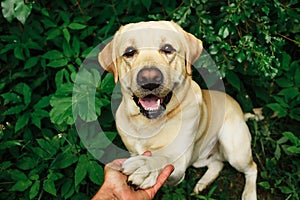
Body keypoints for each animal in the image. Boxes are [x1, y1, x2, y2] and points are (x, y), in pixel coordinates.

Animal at [99, 21, 258, 199]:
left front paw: (145, 167)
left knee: (252, 168)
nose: (149, 79)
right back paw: (202, 184)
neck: (146, 125)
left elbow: (163, 158)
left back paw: (249, 194)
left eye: (168, 49)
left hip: (234, 149)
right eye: (129, 52)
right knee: (217, 164)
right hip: (201, 159)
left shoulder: (179, 166)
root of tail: (241, 111)